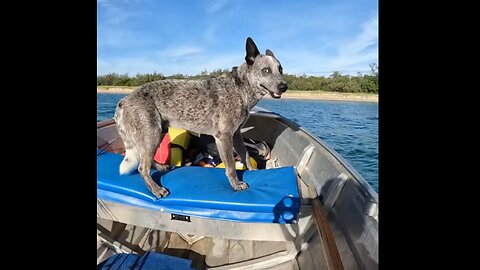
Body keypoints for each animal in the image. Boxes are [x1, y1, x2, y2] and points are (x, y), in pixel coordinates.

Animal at [114, 37, 286, 198]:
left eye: (281, 69)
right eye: (265, 70)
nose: (284, 86)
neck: (240, 88)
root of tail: (124, 101)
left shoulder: (236, 135)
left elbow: (246, 155)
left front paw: (252, 172)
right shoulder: (224, 137)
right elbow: (231, 165)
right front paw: (236, 185)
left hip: (156, 133)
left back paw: (162, 168)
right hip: (151, 135)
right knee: (142, 168)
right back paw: (156, 189)